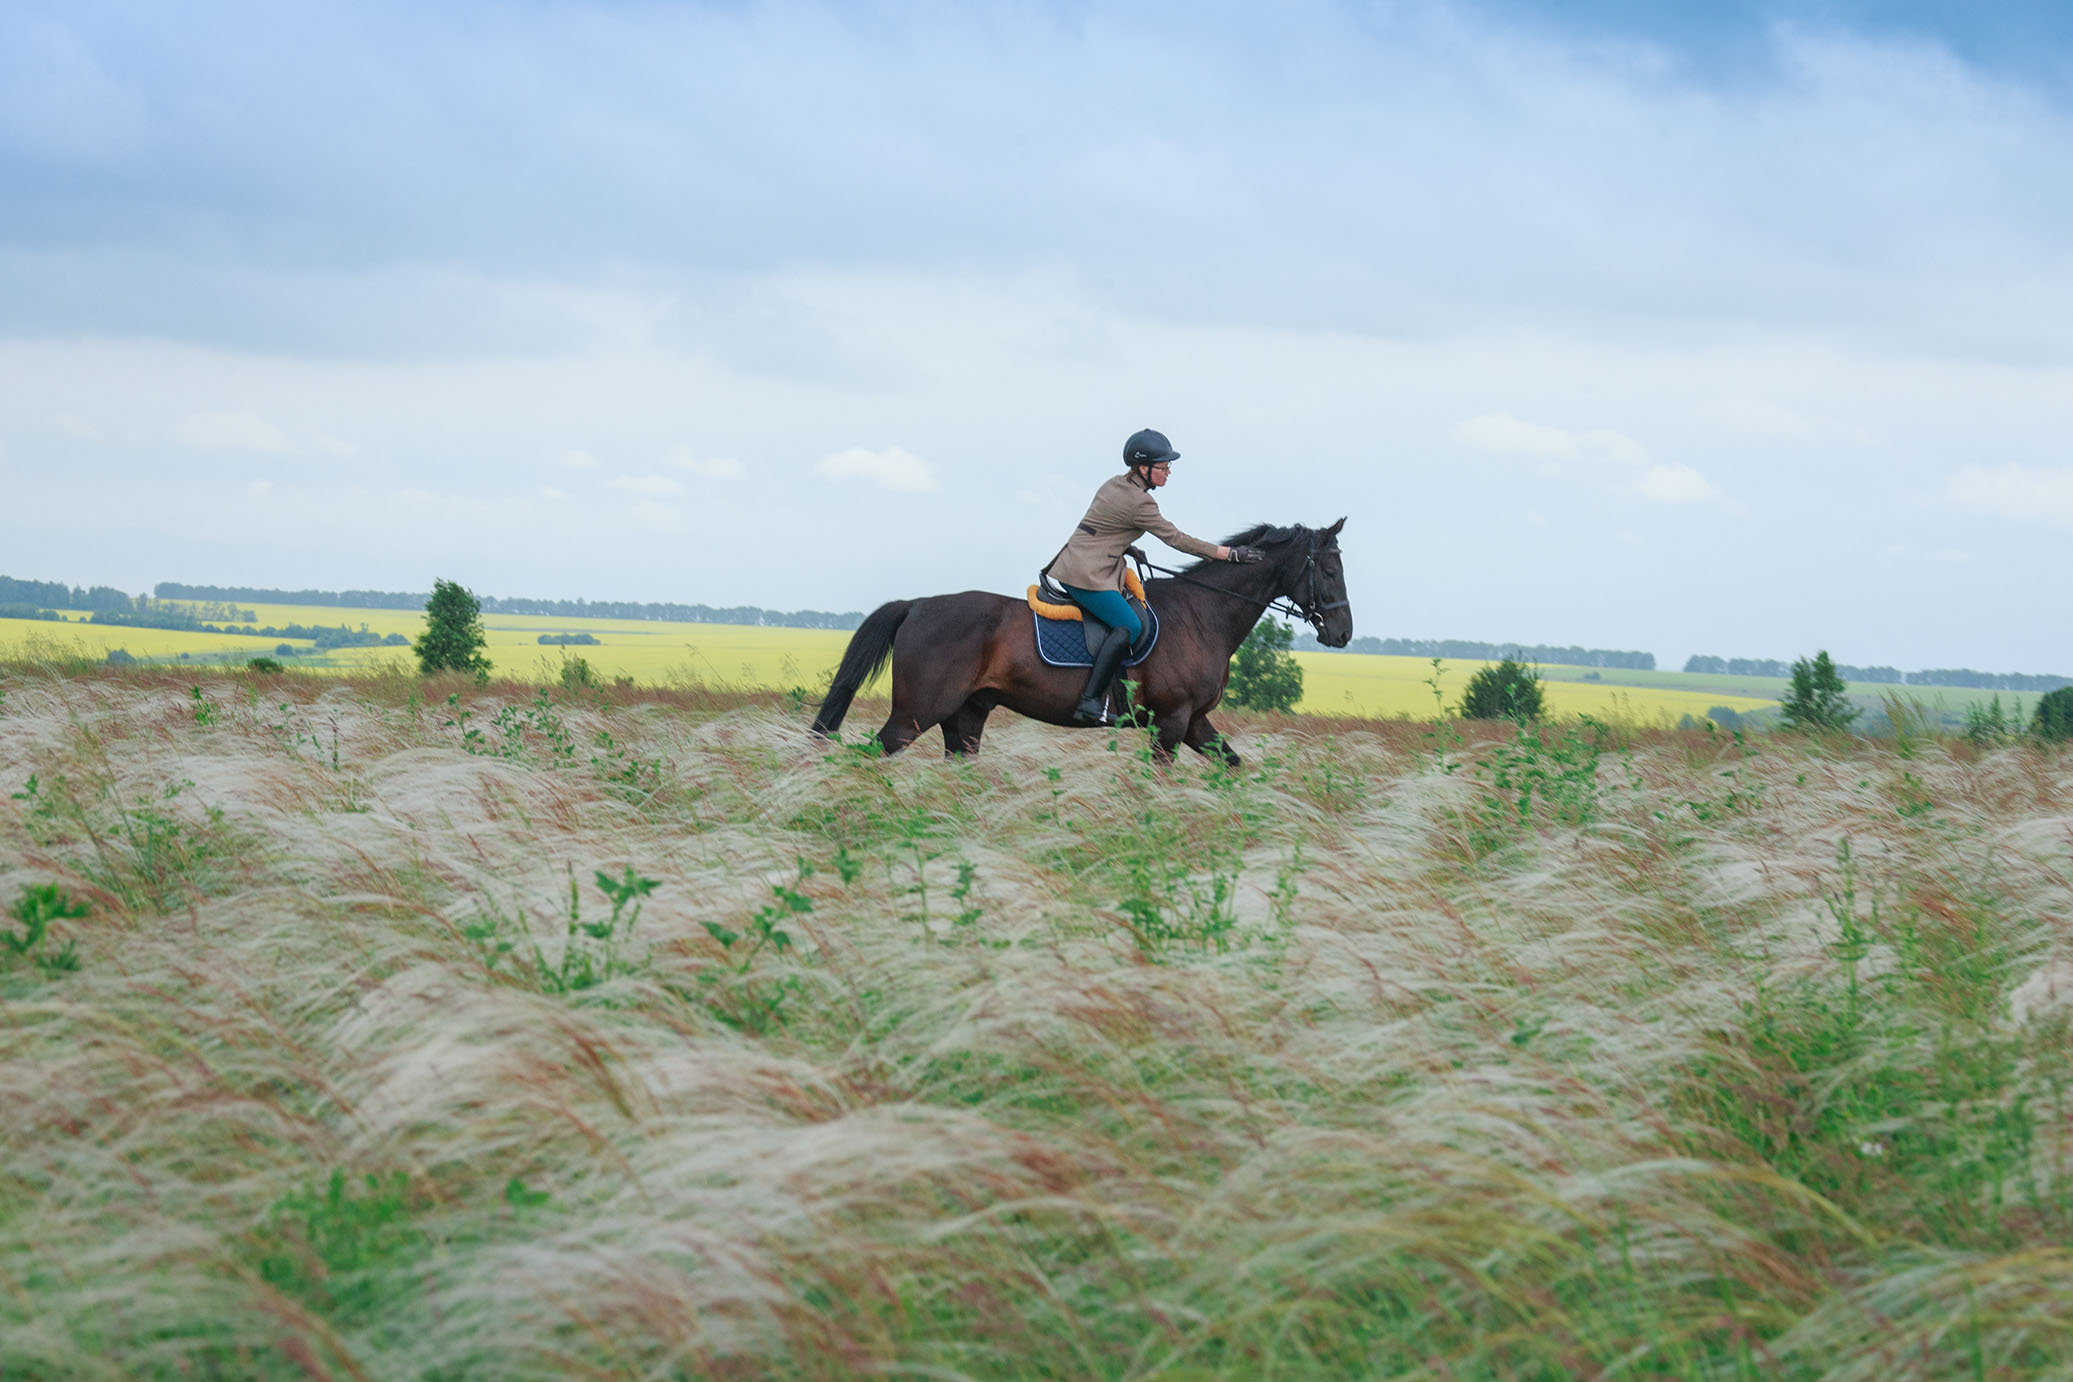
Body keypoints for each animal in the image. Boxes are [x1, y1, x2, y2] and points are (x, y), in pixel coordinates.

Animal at [808, 517, 1359, 762]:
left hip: (965, 717)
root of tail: (918, 604)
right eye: (1330, 570)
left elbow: (1234, 767)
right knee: (870, 754)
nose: (1343, 633)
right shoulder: (1171, 722)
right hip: (915, 714)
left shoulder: (1196, 722)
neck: (1204, 615)